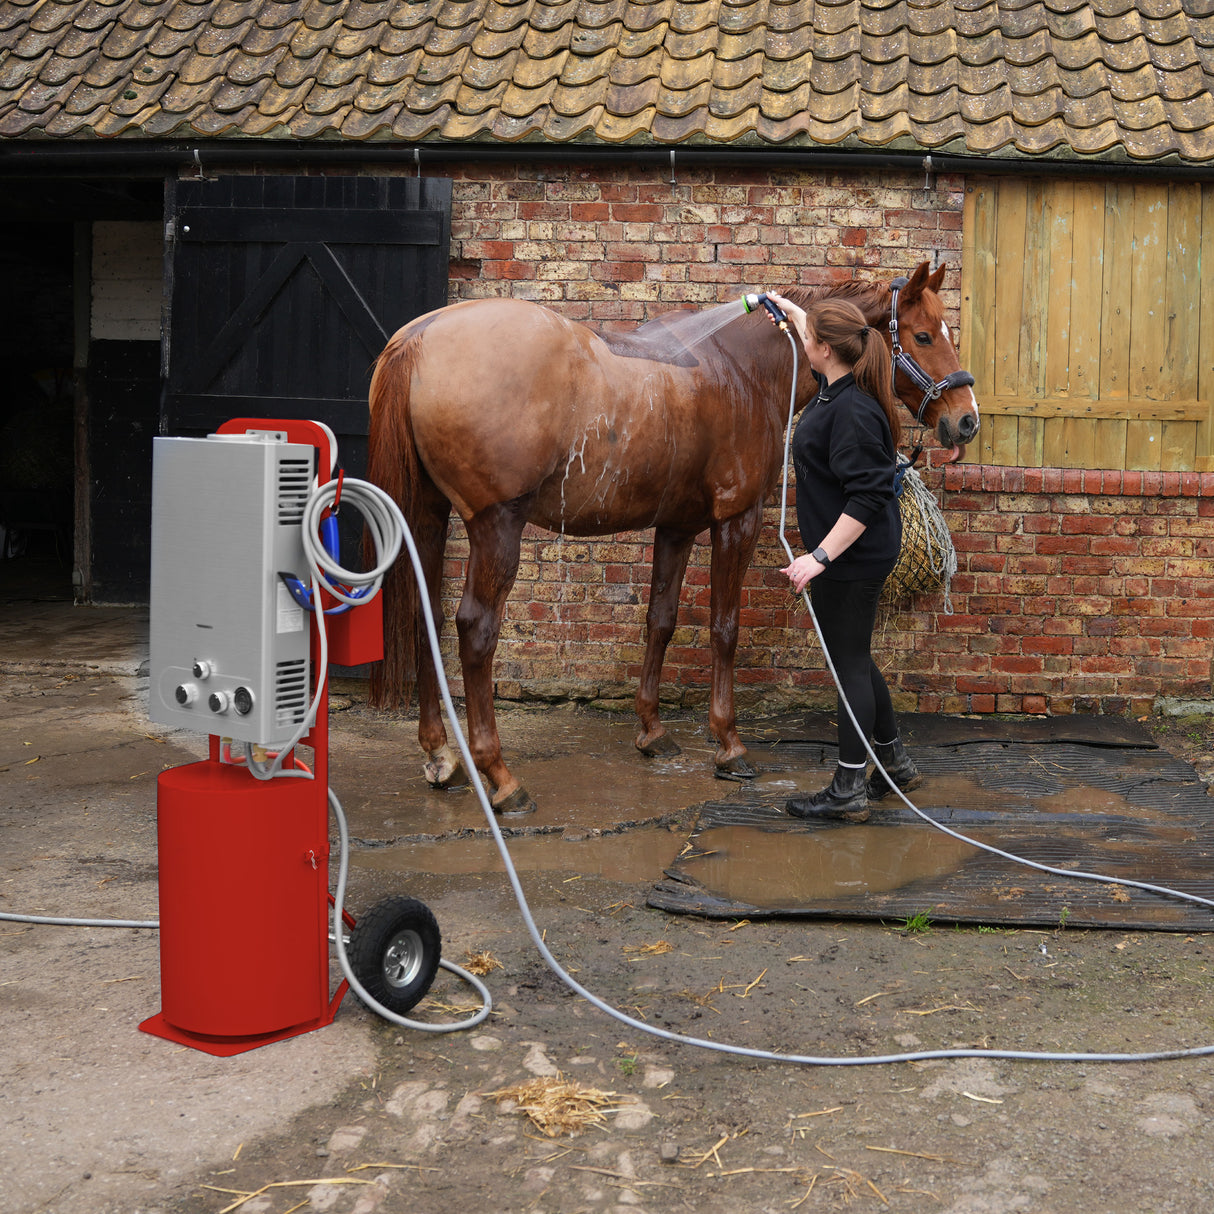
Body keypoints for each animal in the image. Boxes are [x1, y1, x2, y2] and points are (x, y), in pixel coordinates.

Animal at [366, 260, 979, 813]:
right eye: (923, 335)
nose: (966, 419)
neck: (744, 365)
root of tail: (418, 340)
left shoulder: (676, 527)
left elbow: (660, 620)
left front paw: (653, 733)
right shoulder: (737, 519)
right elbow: (724, 629)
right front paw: (729, 746)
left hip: (428, 517)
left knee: (427, 615)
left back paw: (440, 755)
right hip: (496, 527)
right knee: (475, 630)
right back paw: (500, 776)